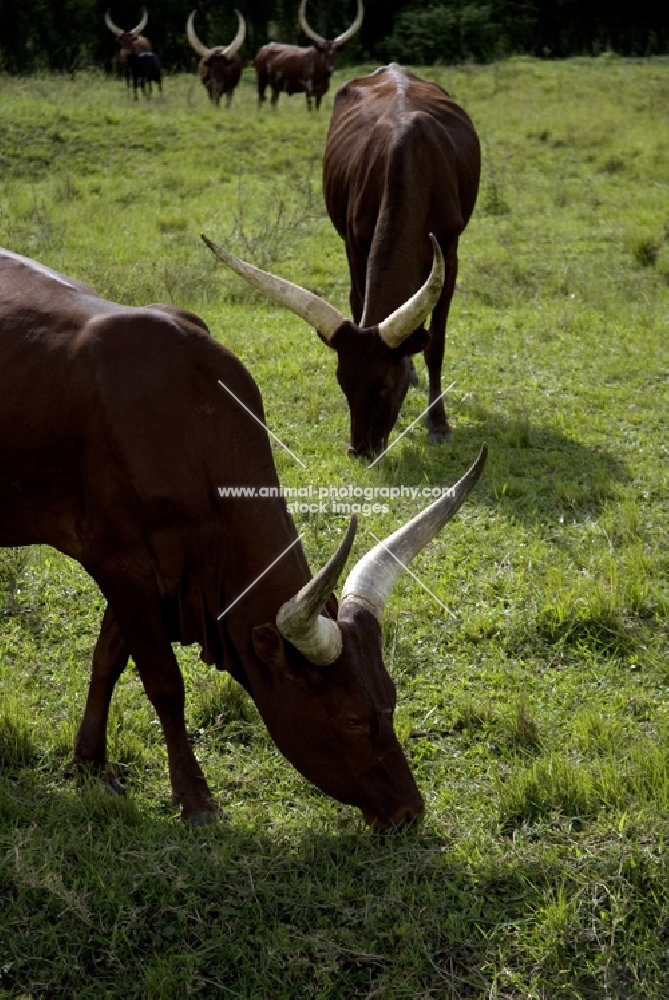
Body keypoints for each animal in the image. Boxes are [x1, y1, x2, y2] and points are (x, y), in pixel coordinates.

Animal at [0, 246, 486, 832]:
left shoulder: (153, 573)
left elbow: (108, 659)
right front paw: (195, 797)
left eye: (390, 699)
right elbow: (163, 681)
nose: (409, 810)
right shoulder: (120, 564)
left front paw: (91, 763)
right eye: (351, 719)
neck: (184, 423)